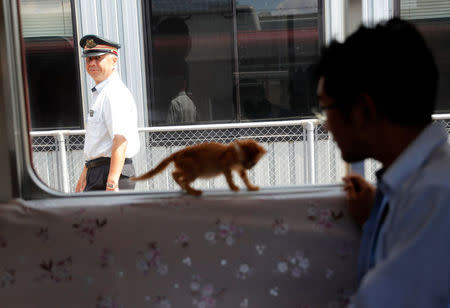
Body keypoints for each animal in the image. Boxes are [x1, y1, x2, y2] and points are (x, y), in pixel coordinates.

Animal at [130, 139, 266, 195]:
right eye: (244, 161)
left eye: (253, 163)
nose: (248, 168)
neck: (234, 154)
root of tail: (177, 153)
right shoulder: (225, 166)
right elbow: (229, 178)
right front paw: (233, 187)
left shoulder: (240, 170)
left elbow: (245, 178)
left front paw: (251, 187)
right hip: (193, 171)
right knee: (183, 179)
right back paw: (194, 192)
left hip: (186, 168)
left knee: (175, 174)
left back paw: (183, 187)